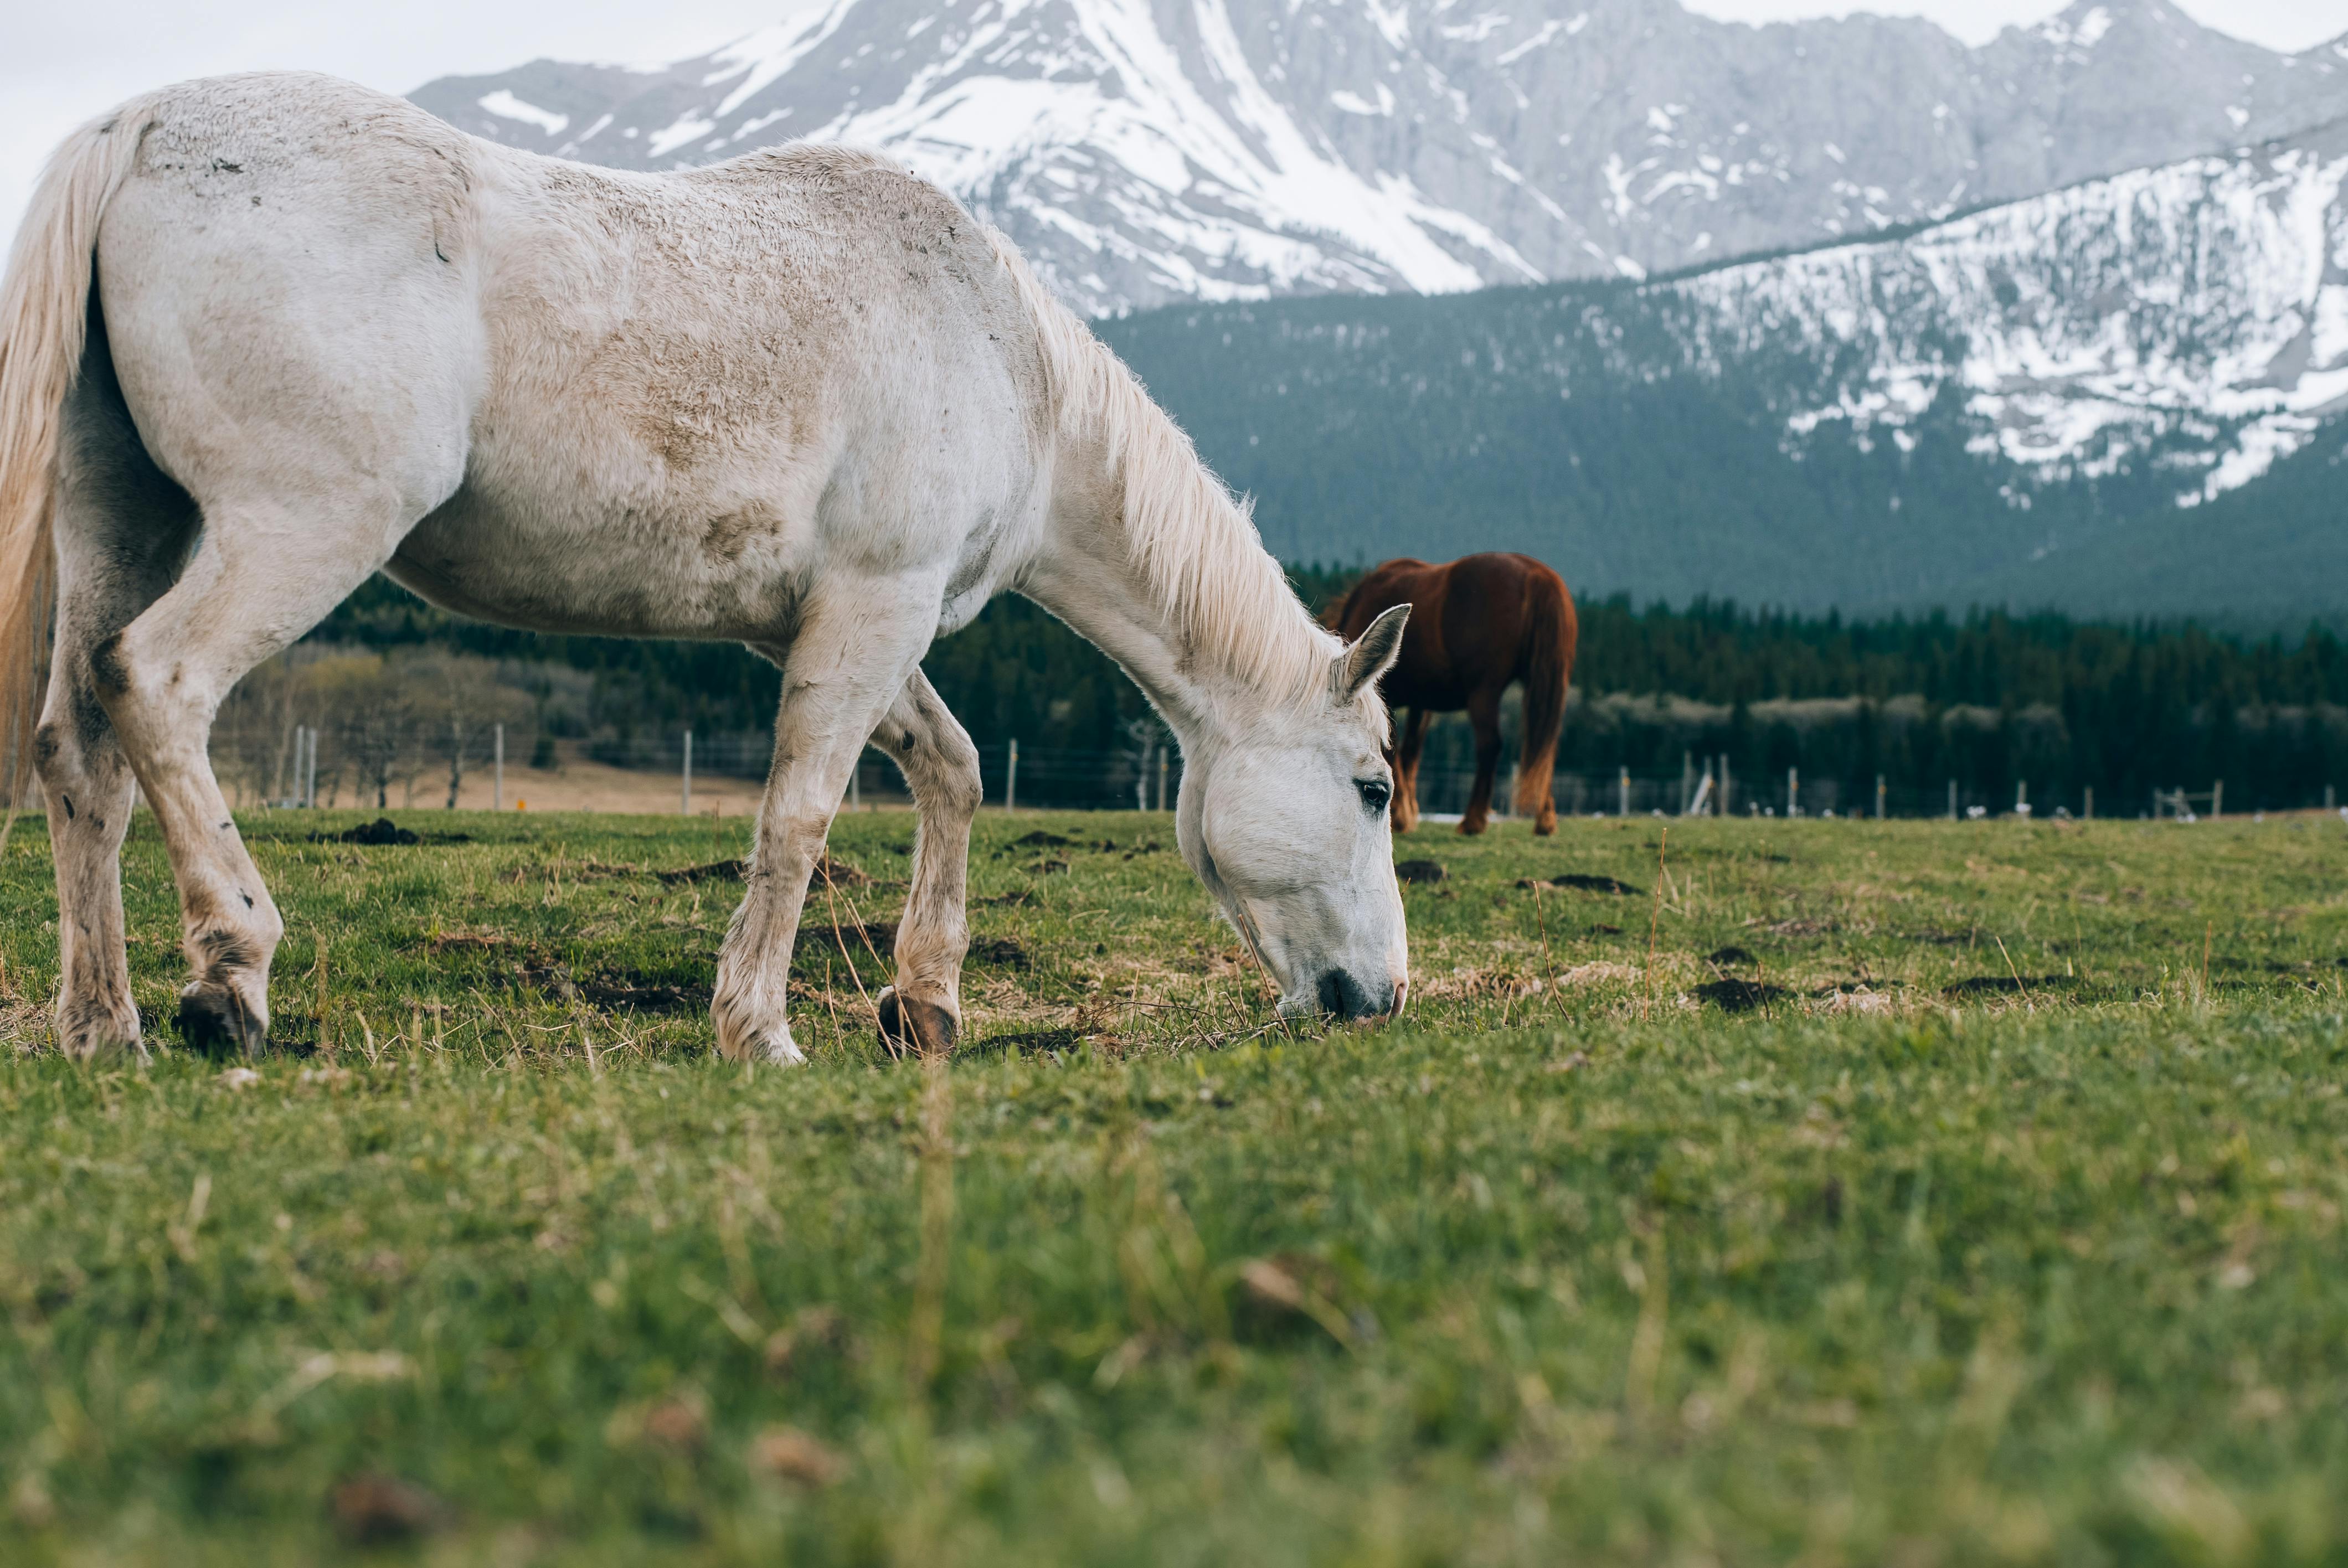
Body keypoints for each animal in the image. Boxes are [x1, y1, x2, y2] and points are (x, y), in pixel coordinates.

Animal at [0, 80, 1408, 1070]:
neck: (1003, 357)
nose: (1382, 997)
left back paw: (105, 1024)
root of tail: (141, 126)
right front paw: (760, 1029)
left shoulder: (830, 624)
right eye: (1375, 788)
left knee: (79, 746)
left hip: (127, 524)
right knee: (159, 684)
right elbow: (799, 815)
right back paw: (229, 976)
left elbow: (950, 772)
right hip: (297, 530)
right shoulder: (874, 607)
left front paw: (925, 1001)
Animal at [1324, 556, 1578, 840]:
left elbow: (1394, 752)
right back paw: (1545, 821)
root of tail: (1535, 573)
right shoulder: (1421, 705)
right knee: (1544, 746)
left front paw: (1401, 816)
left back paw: (1474, 821)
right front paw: (1408, 815)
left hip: (1484, 692)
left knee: (1490, 745)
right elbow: (1411, 753)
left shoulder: (1387, 699)